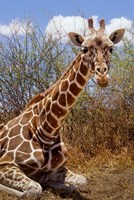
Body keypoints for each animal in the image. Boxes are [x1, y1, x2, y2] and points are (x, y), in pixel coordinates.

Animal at [0, 18, 125, 198]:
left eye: (111, 48)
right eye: (84, 49)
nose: (102, 76)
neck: (45, 129)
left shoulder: (60, 168)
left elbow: (81, 180)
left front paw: (54, 184)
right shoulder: (6, 163)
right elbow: (33, 189)